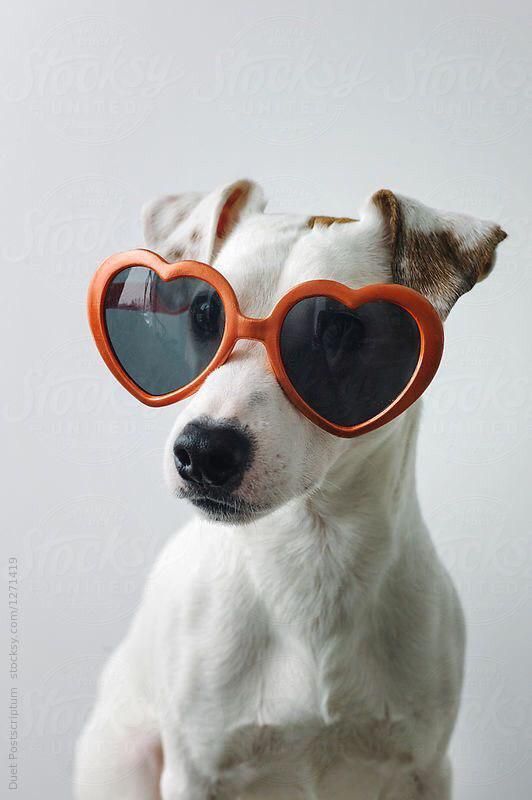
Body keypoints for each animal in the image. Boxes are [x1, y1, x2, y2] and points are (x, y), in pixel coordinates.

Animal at [74, 178, 508, 796]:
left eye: (339, 327)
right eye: (204, 311)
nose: (204, 451)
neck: (312, 558)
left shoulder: (422, 768)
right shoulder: (195, 771)